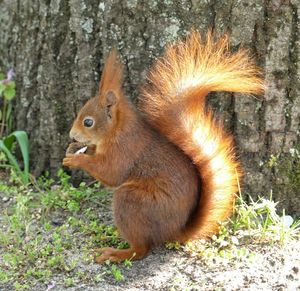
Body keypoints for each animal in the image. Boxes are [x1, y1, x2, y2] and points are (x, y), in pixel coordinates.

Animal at [62, 30, 264, 264]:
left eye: (88, 122)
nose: (71, 135)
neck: (117, 130)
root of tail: (173, 232)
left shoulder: (125, 150)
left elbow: (110, 172)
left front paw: (76, 159)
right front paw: (74, 149)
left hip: (132, 202)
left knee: (141, 250)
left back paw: (117, 253)